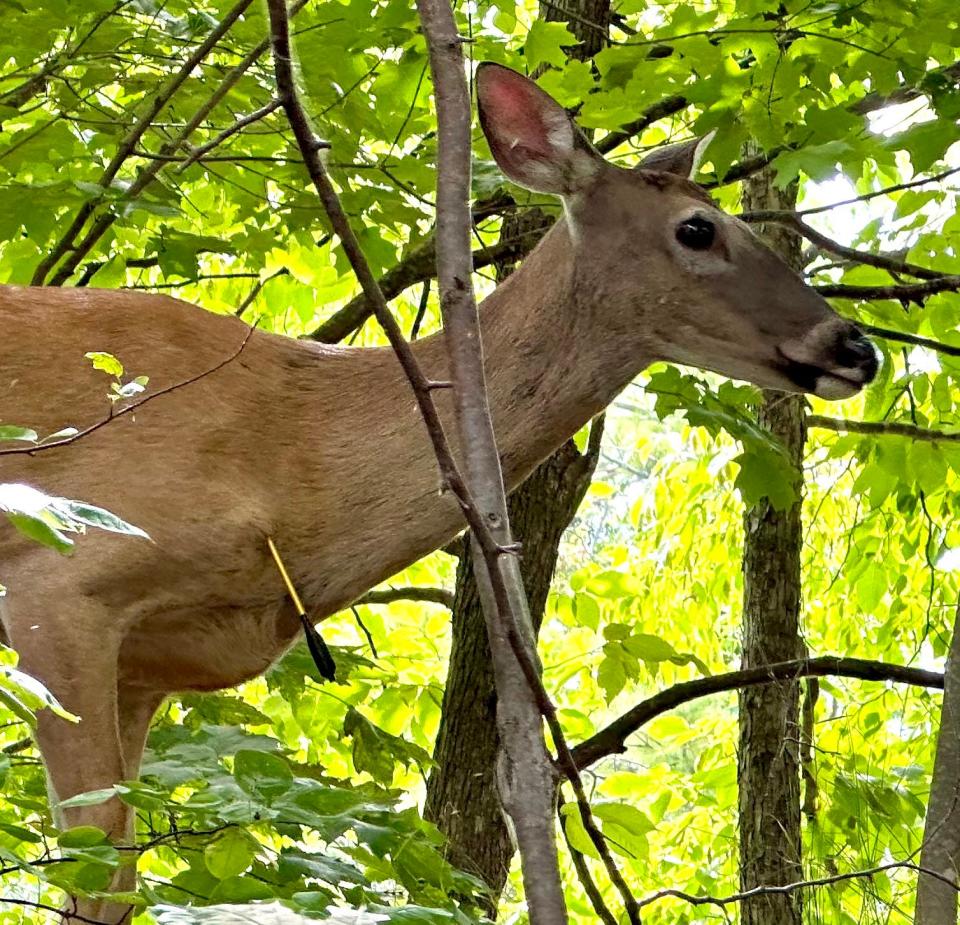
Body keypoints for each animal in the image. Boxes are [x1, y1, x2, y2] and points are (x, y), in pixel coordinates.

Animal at [0, 61, 876, 920]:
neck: (293, 467)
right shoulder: (62, 575)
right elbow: (96, 859)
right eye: (699, 228)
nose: (856, 347)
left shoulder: (148, 669)